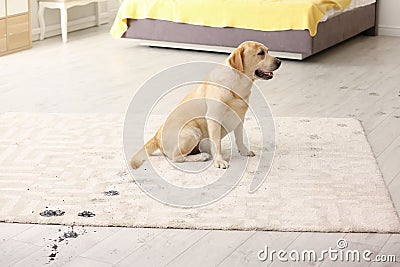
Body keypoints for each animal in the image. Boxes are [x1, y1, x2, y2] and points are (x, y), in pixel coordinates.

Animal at [131, 40, 282, 171]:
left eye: (267, 51)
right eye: (261, 53)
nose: (279, 61)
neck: (236, 86)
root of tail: (156, 137)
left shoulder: (240, 118)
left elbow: (239, 138)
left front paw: (244, 151)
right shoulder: (214, 119)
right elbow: (217, 143)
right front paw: (219, 161)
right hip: (192, 131)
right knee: (177, 158)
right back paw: (202, 156)